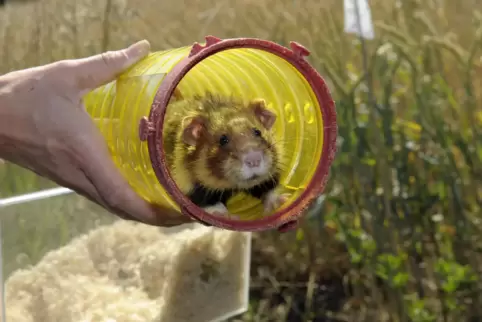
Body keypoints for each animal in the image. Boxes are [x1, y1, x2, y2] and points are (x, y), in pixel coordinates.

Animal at [164, 90, 288, 218]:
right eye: (223, 140)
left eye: (257, 132)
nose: (254, 160)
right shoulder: (193, 188)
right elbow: (213, 204)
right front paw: (232, 217)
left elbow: (268, 188)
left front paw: (282, 201)